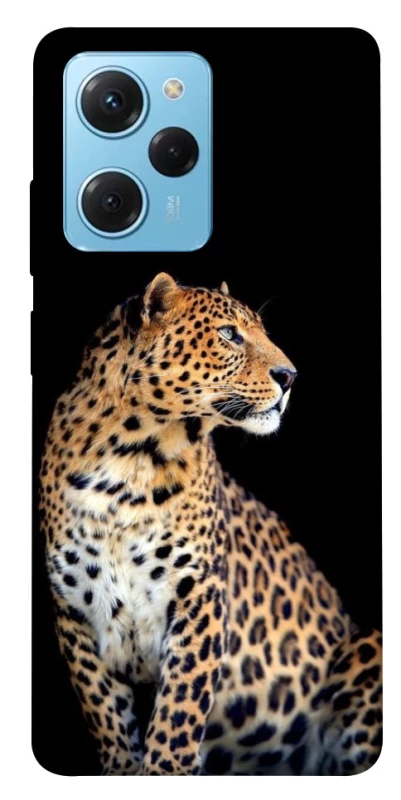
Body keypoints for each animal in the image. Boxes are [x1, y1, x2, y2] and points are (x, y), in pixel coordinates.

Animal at [39, 272, 382, 776]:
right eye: (228, 334)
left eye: (261, 331)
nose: (290, 377)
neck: (129, 460)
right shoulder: (75, 612)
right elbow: (107, 717)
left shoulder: (199, 595)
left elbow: (178, 715)